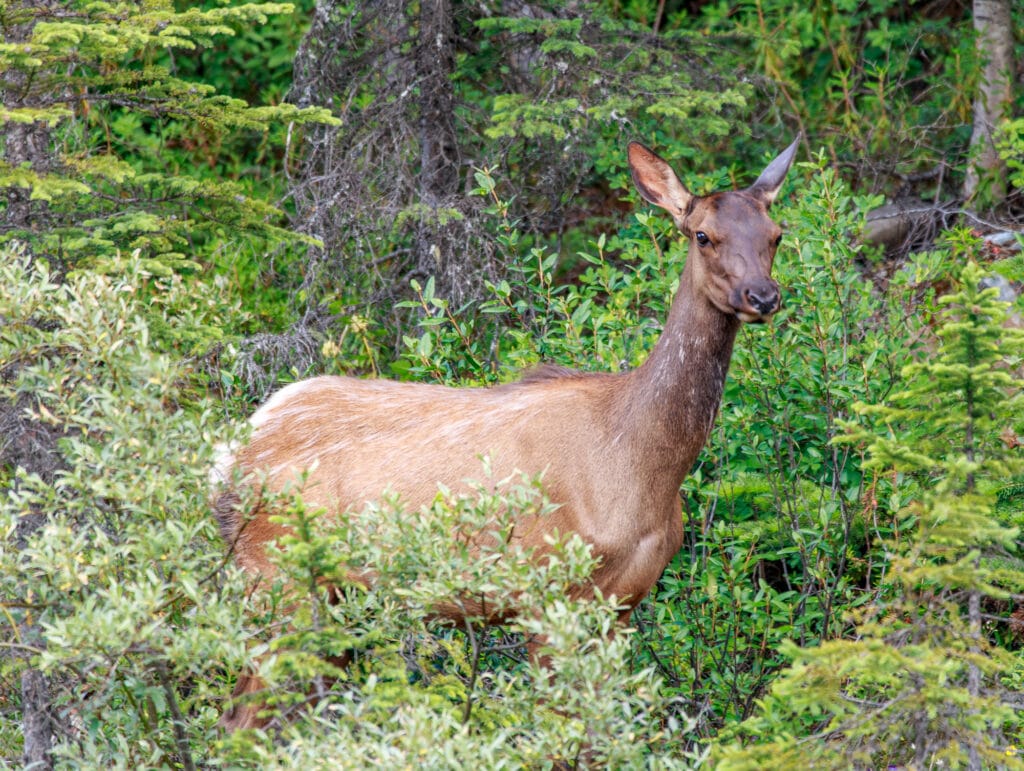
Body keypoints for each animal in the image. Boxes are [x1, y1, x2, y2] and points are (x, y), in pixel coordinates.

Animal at [214, 138, 798, 729]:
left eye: (775, 233)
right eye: (702, 234)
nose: (762, 296)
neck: (641, 465)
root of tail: (232, 451)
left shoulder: (622, 605)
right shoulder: (547, 595)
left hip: (334, 600)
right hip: (279, 581)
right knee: (239, 715)